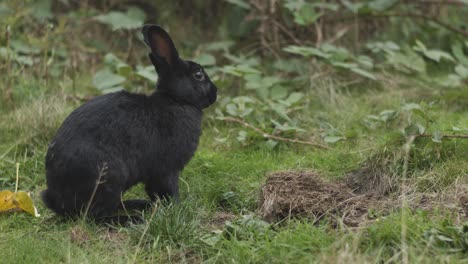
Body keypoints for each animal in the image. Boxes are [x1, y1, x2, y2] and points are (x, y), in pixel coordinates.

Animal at [42, 24, 218, 223]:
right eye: (198, 75)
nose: (215, 92)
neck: (176, 99)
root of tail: (57, 200)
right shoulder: (167, 170)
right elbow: (169, 192)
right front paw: (178, 209)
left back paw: (139, 205)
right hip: (110, 178)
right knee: (94, 215)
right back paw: (131, 220)